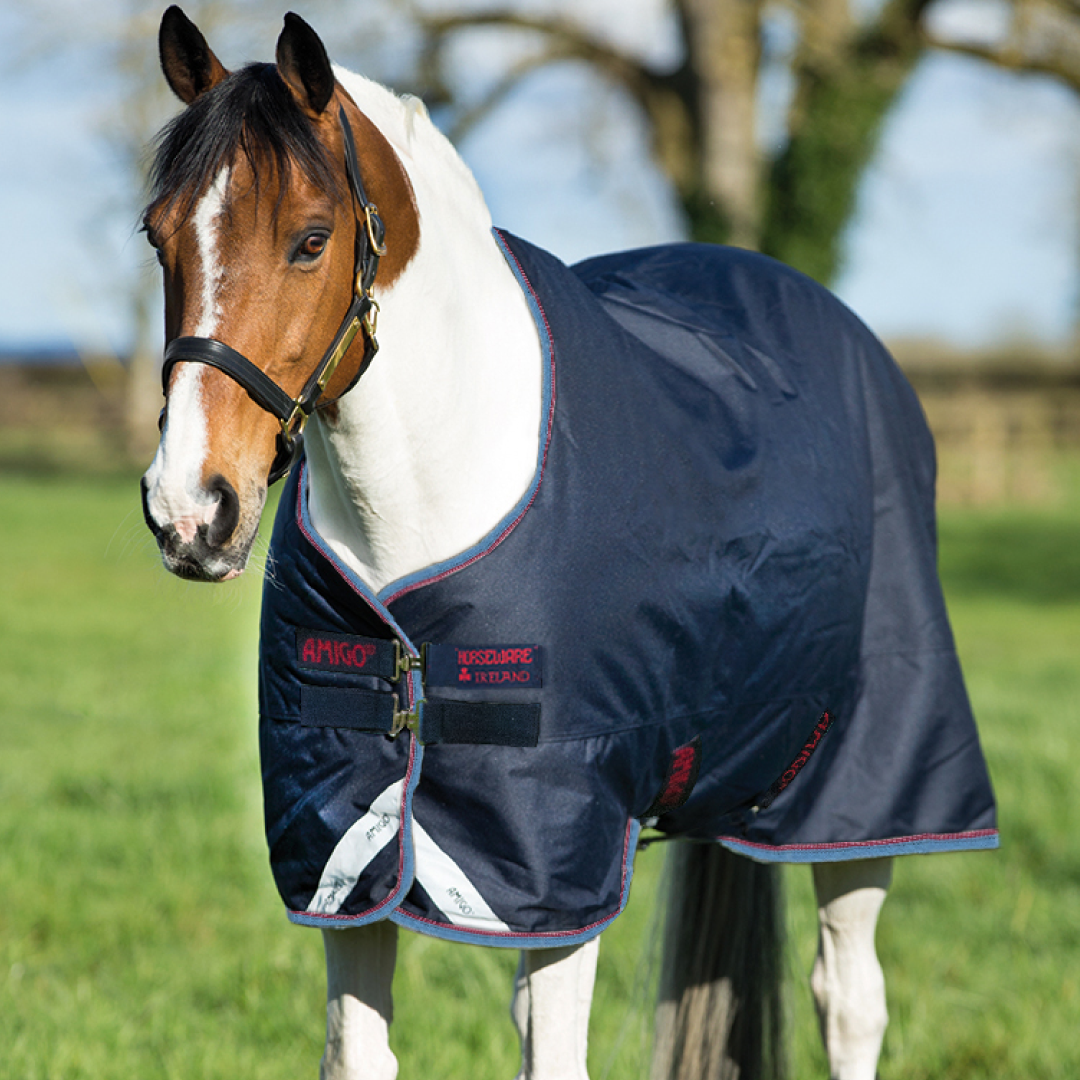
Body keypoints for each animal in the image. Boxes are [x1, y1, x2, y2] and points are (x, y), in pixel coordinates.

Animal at [139, 8, 999, 1079]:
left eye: (310, 239)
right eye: (158, 235)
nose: (189, 509)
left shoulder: (557, 863)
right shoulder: (345, 855)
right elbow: (359, 1052)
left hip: (862, 793)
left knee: (849, 1000)